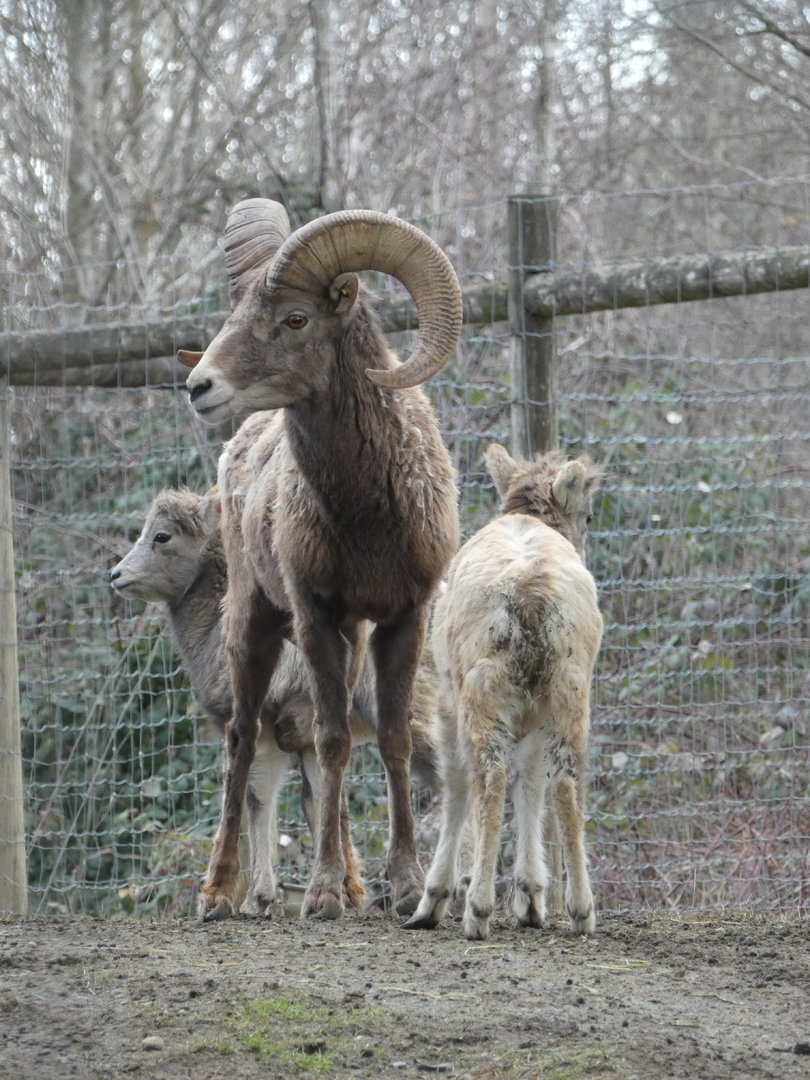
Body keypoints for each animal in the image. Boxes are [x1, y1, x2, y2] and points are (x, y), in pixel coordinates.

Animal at [109, 480, 440, 916]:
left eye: (162, 536)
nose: (115, 575)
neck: (215, 633)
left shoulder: (264, 731)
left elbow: (257, 798)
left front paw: (257, 899)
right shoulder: (308, 745)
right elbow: (321, 804)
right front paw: (345, 893)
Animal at [181, 199, 461, 920]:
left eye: (295, 320)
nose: (199, 387)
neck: (367, 515)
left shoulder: (400, 620)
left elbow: (390, 741)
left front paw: (405, 891)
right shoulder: (313, 617)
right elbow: (331, 742)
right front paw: (323, 894)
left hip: (352, 641)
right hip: (255, 626)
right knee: (242, 741)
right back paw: (220, 895)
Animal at [404, 444, 603, 941]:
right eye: (589, 515)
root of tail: (532, 599)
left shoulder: (446, 703)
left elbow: (456, 784)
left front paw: (431, 902)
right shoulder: (532, 715)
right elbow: (531, 781)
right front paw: (531, 899)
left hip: (482, 691)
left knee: (488, 778)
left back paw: (476, 910)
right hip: (569, 690)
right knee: (567, 780)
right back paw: (581, 910)